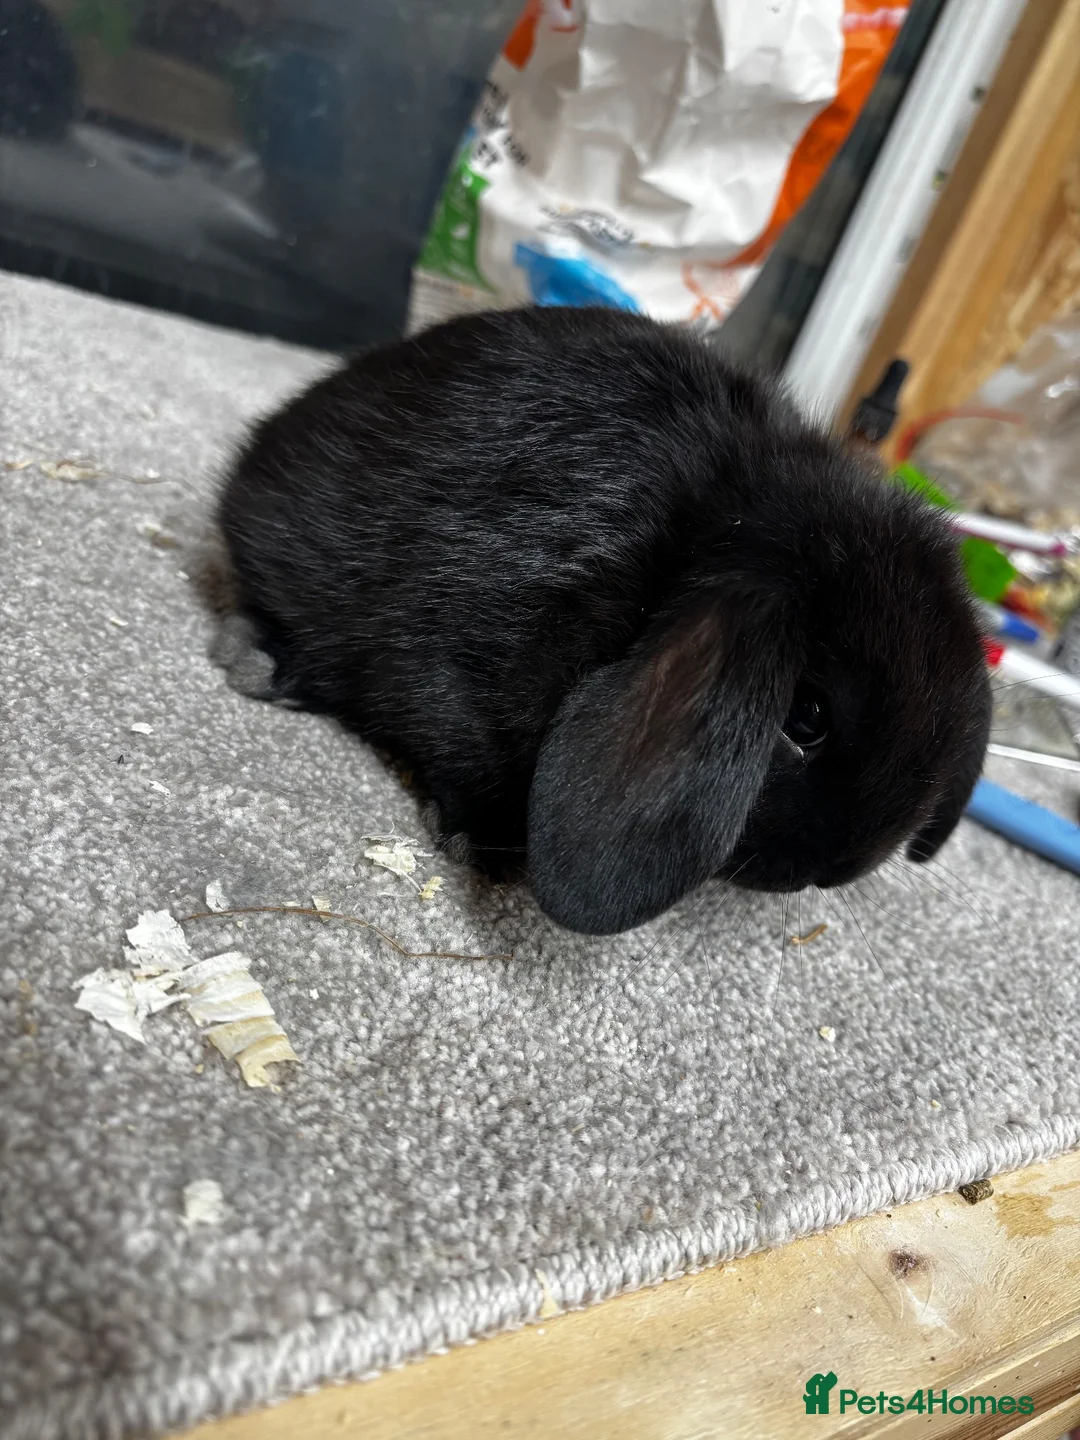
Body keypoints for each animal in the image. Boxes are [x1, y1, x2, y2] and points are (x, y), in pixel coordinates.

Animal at [216, 305, 991, 936]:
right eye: (805, 717)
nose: (838, 869)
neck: (690, 539)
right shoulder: (455, 666)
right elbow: (451, 740)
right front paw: (485, 847)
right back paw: (255, 658)